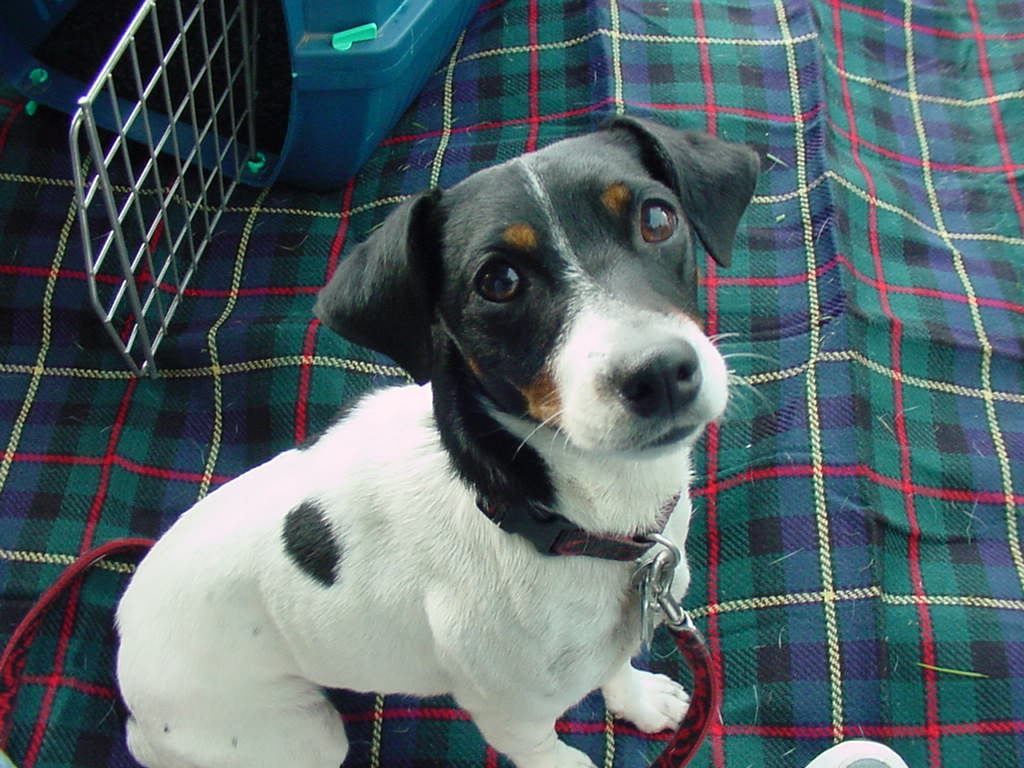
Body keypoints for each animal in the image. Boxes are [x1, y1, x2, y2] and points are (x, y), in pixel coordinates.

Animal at [115, 116, 759, 768]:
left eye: (658, 218)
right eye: (498, 281)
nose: (659, 374)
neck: (562, 523)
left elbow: (617, 663)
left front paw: (640, 699)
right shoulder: (512, 716)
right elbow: (554, 753)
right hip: (295, 733)